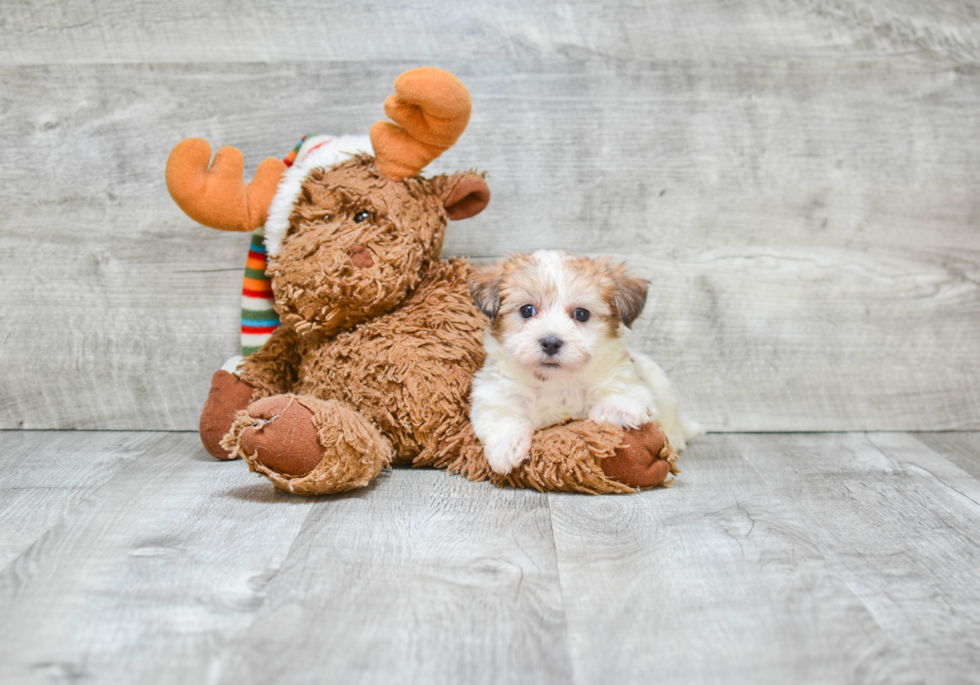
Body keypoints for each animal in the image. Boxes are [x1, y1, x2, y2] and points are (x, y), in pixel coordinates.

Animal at [468, 248, 696, 472]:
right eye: (527, 310)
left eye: (581, 314)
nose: (551, 342)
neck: (556, 382)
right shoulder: (495, 395)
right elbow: (500, 418)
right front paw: (507, 447)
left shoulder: (627, 380)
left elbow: (627, 394)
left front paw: (616, 409)